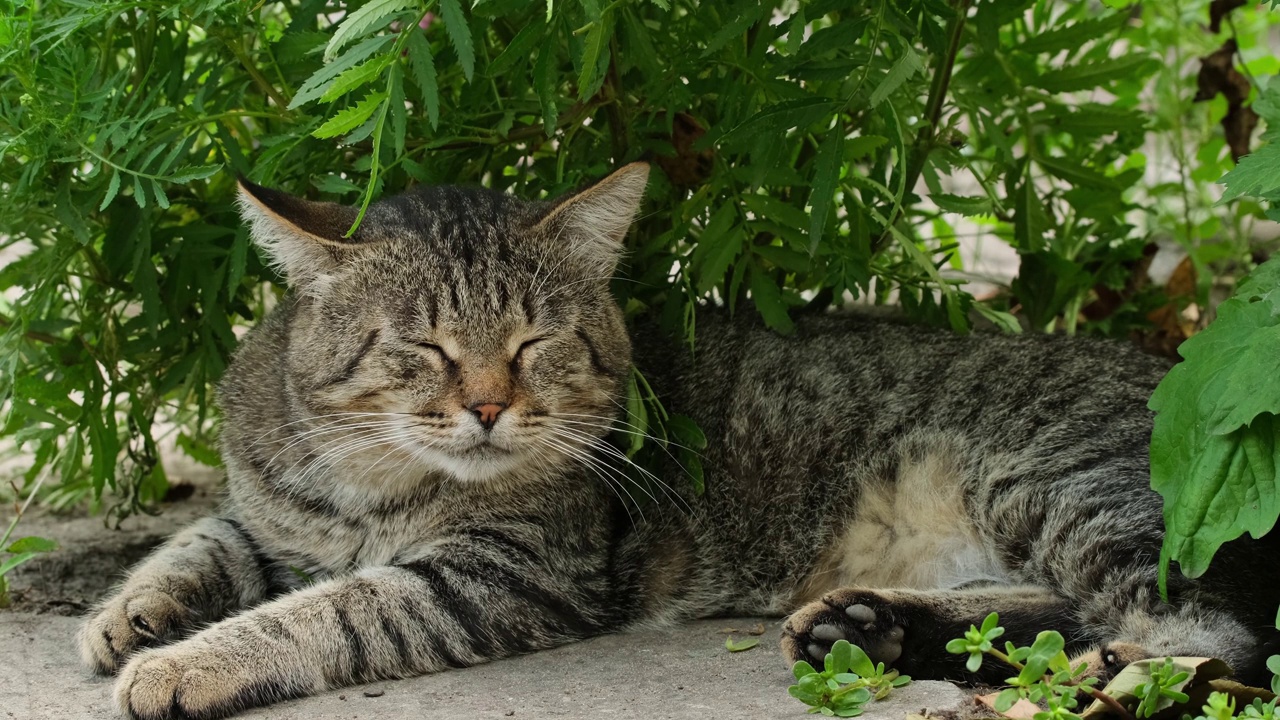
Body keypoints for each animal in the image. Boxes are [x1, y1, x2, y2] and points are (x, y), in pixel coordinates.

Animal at [77, 163, 1280, 717]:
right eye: (420, 346)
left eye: (536, 344)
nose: (486, 408)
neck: (364, 482)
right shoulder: (265, 513)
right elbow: (205, 541)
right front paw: (131, 616)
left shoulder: (506, 573)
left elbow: (331, 607)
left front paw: (185, 662)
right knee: (1057, 608)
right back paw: (869, 625)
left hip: (1056, 481)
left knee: (1206, 630)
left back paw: (1115, 673)